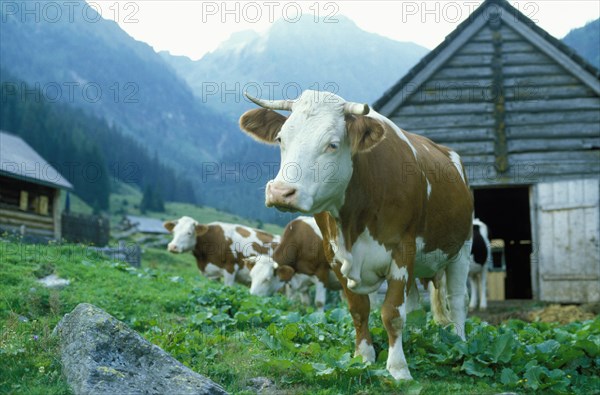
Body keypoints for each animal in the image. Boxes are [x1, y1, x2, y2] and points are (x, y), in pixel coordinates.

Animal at [239, 89, 474, 380]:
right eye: (281, 138)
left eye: (332, 144)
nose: (281, 192)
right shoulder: (334, 255)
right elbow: (359, 310)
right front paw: (364, 357)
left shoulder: (402, 250)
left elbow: (392, 313)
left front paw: (398, 369)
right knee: (415, 305)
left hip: (462, 249)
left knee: (457, 300)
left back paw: (459, 344)